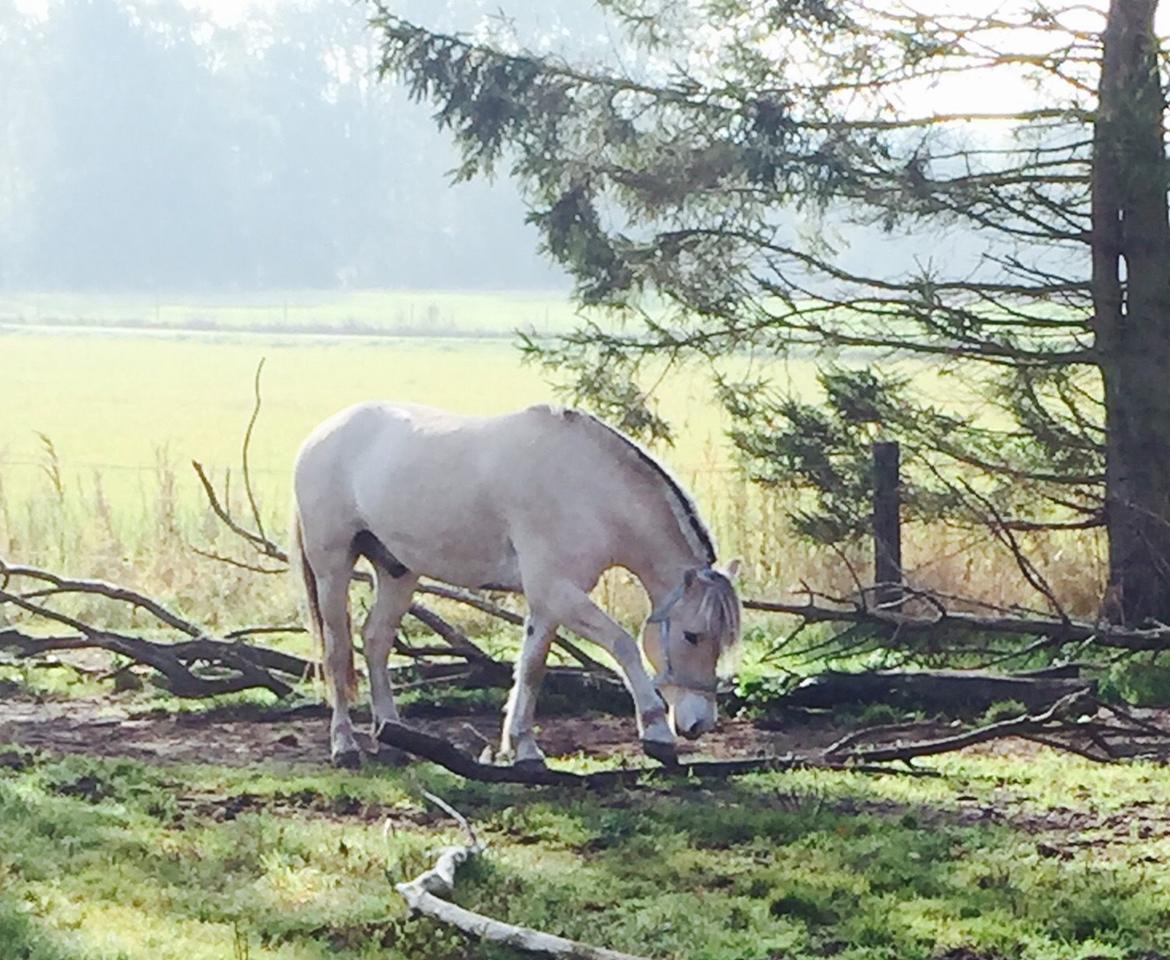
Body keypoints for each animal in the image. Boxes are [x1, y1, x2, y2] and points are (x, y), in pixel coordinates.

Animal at [288, 399, 739, 767]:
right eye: (693, 635)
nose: (699, 723)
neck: (587, 487)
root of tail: (320, 434)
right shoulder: (557, 591)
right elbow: (623, 645)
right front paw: (656, 733)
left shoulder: (548, 600)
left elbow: (532, 668)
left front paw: (525, 750)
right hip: (332, 568)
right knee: (337, 652)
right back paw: (344, 747)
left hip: (398, 572)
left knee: (376, 641)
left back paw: (394, 737)